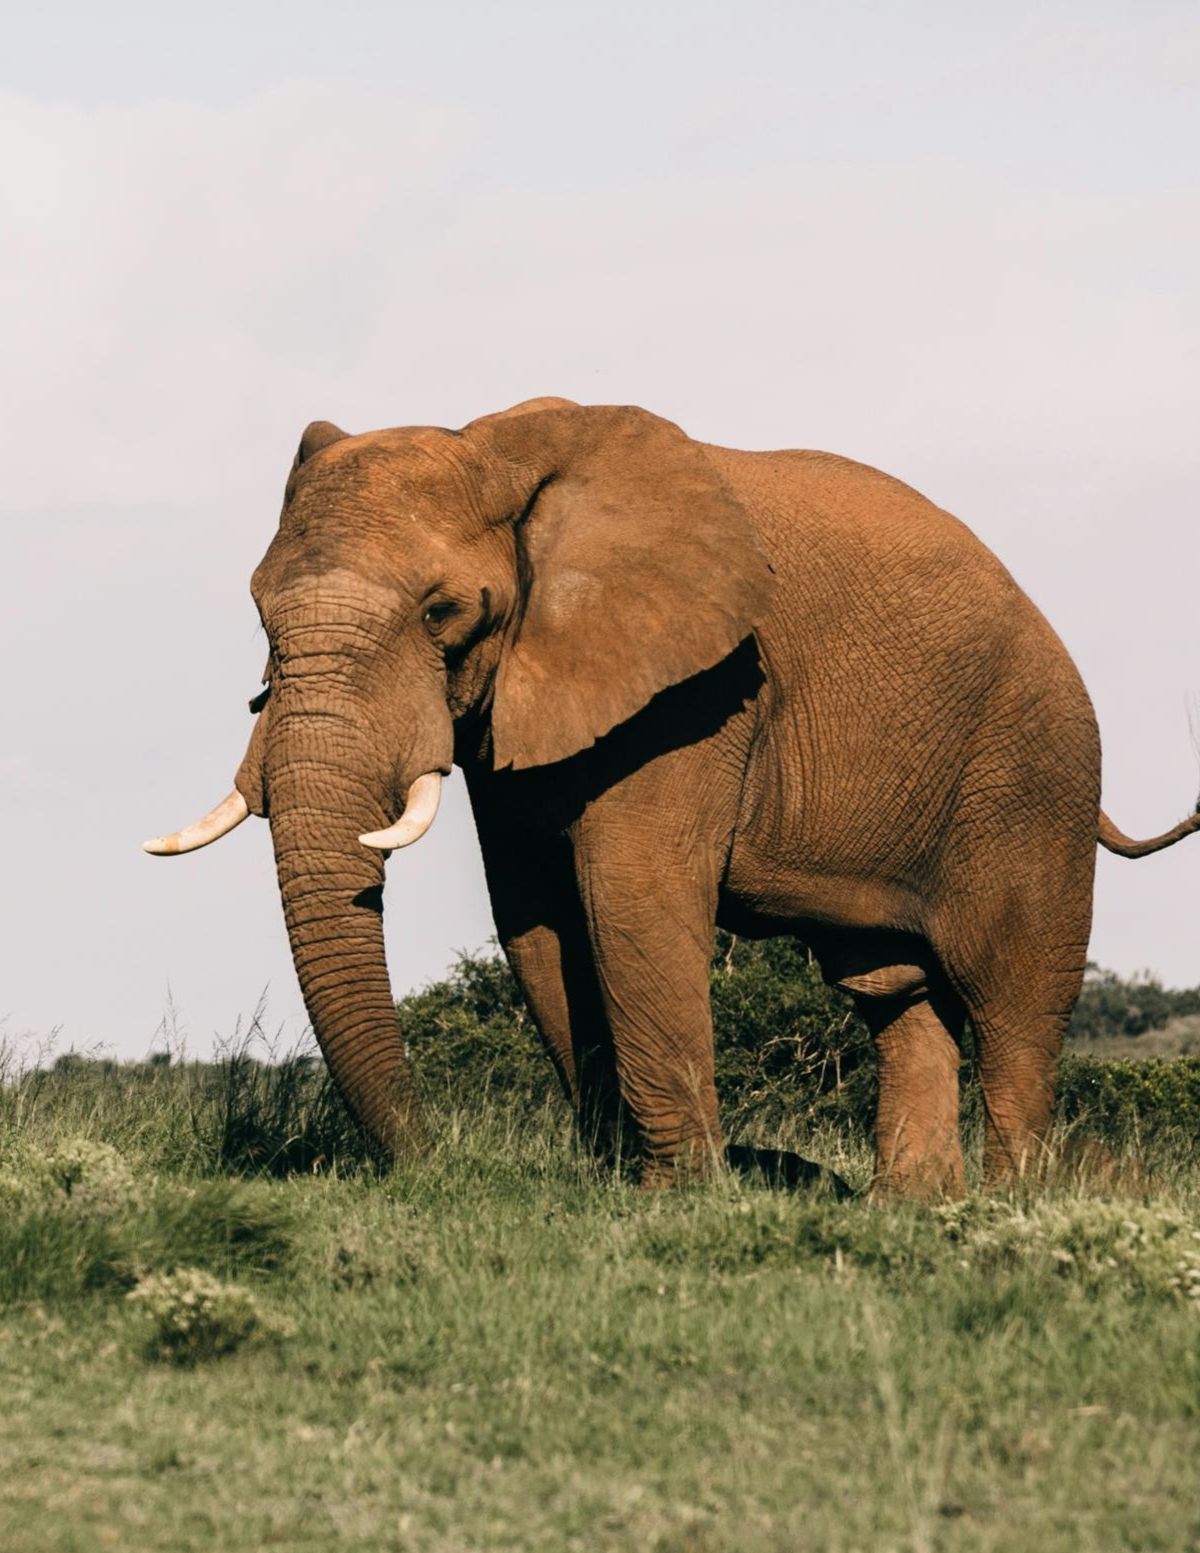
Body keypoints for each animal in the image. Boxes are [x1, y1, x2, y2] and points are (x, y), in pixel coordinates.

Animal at [144, 398, 1200, 1197]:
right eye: (259, 613)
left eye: (444, 612)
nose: (430, 1162)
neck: (498, 446)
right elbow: (537, 916)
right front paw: (617, 1181)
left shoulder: (700, 689)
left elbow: (631, 897)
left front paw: (679, 1197)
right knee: (894, 991)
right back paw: (909, 1209)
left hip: (1033, 771)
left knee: (1011, 995)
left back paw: (1008, 1207)